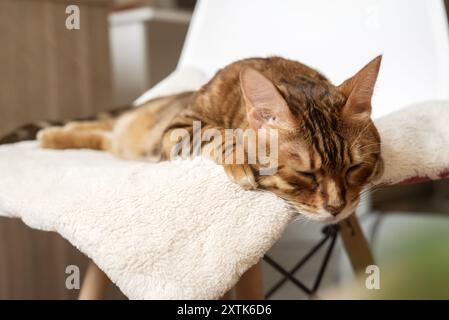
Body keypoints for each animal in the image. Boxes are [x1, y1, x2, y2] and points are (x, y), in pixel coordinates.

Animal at [36, 56, 384, 222]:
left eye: (354, 168)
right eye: (305, 174)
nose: (337, 208)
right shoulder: (177, 128)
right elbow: (216, 133)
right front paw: (239, 160)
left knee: (103, 136)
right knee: (99, 127)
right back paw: (52, 135)